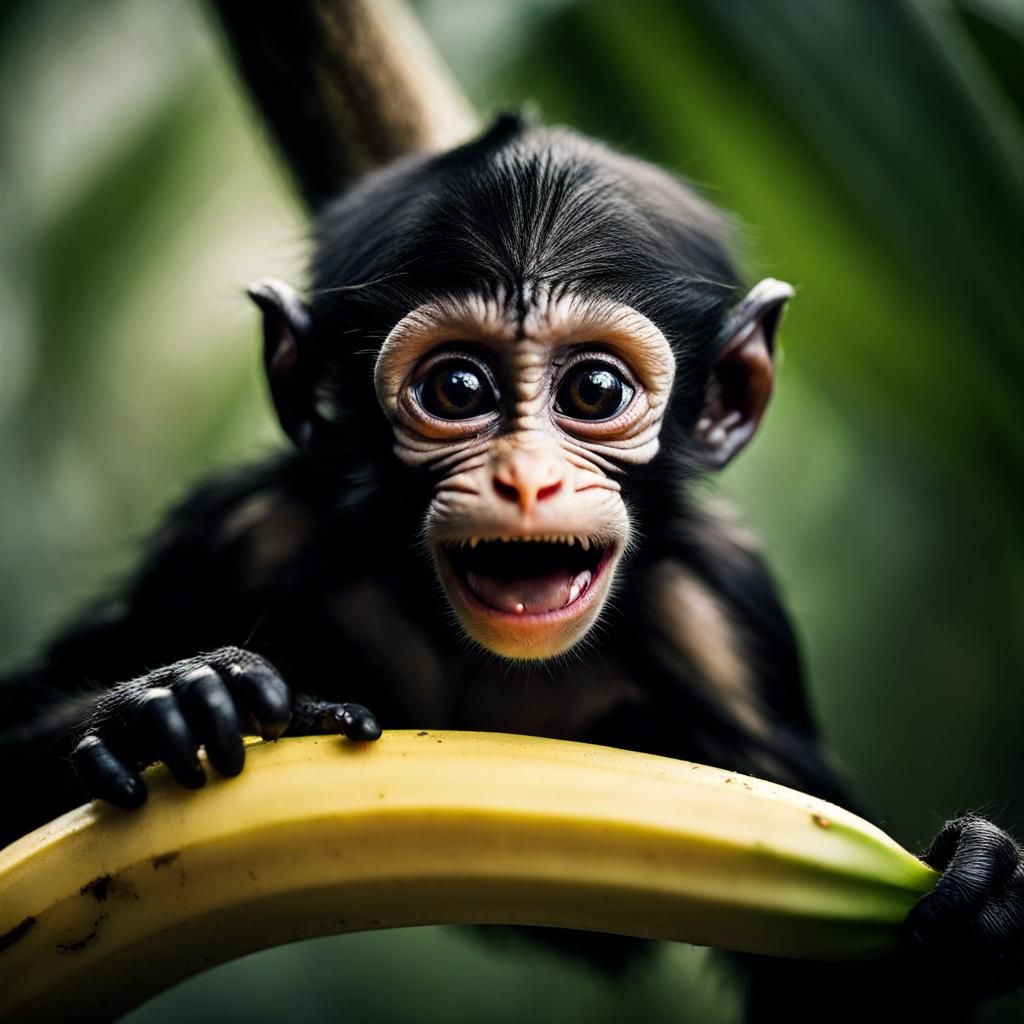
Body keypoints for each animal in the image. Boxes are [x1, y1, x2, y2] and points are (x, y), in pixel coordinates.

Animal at [1, 114, 1021, 1022]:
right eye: (459, 389)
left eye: (595, 391)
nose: (527, 477)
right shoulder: (240, 530)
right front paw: (168, 699)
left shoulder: (729, 618)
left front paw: (979, 894)